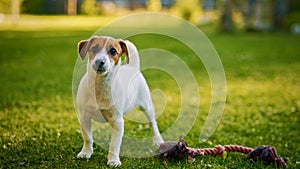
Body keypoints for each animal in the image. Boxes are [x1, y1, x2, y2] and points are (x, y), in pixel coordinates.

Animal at [75, 35, 164, 166]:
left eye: (113, 51)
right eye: (94, 48)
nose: (99, 62)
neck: (100, 86)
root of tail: (132, 67)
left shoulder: (117, 121)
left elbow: (114, 144)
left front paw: (113, 160)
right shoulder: (84, 117)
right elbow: (87, 138)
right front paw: (86, 152)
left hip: (147, 105)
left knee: (153, 123)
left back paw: (158, 140)